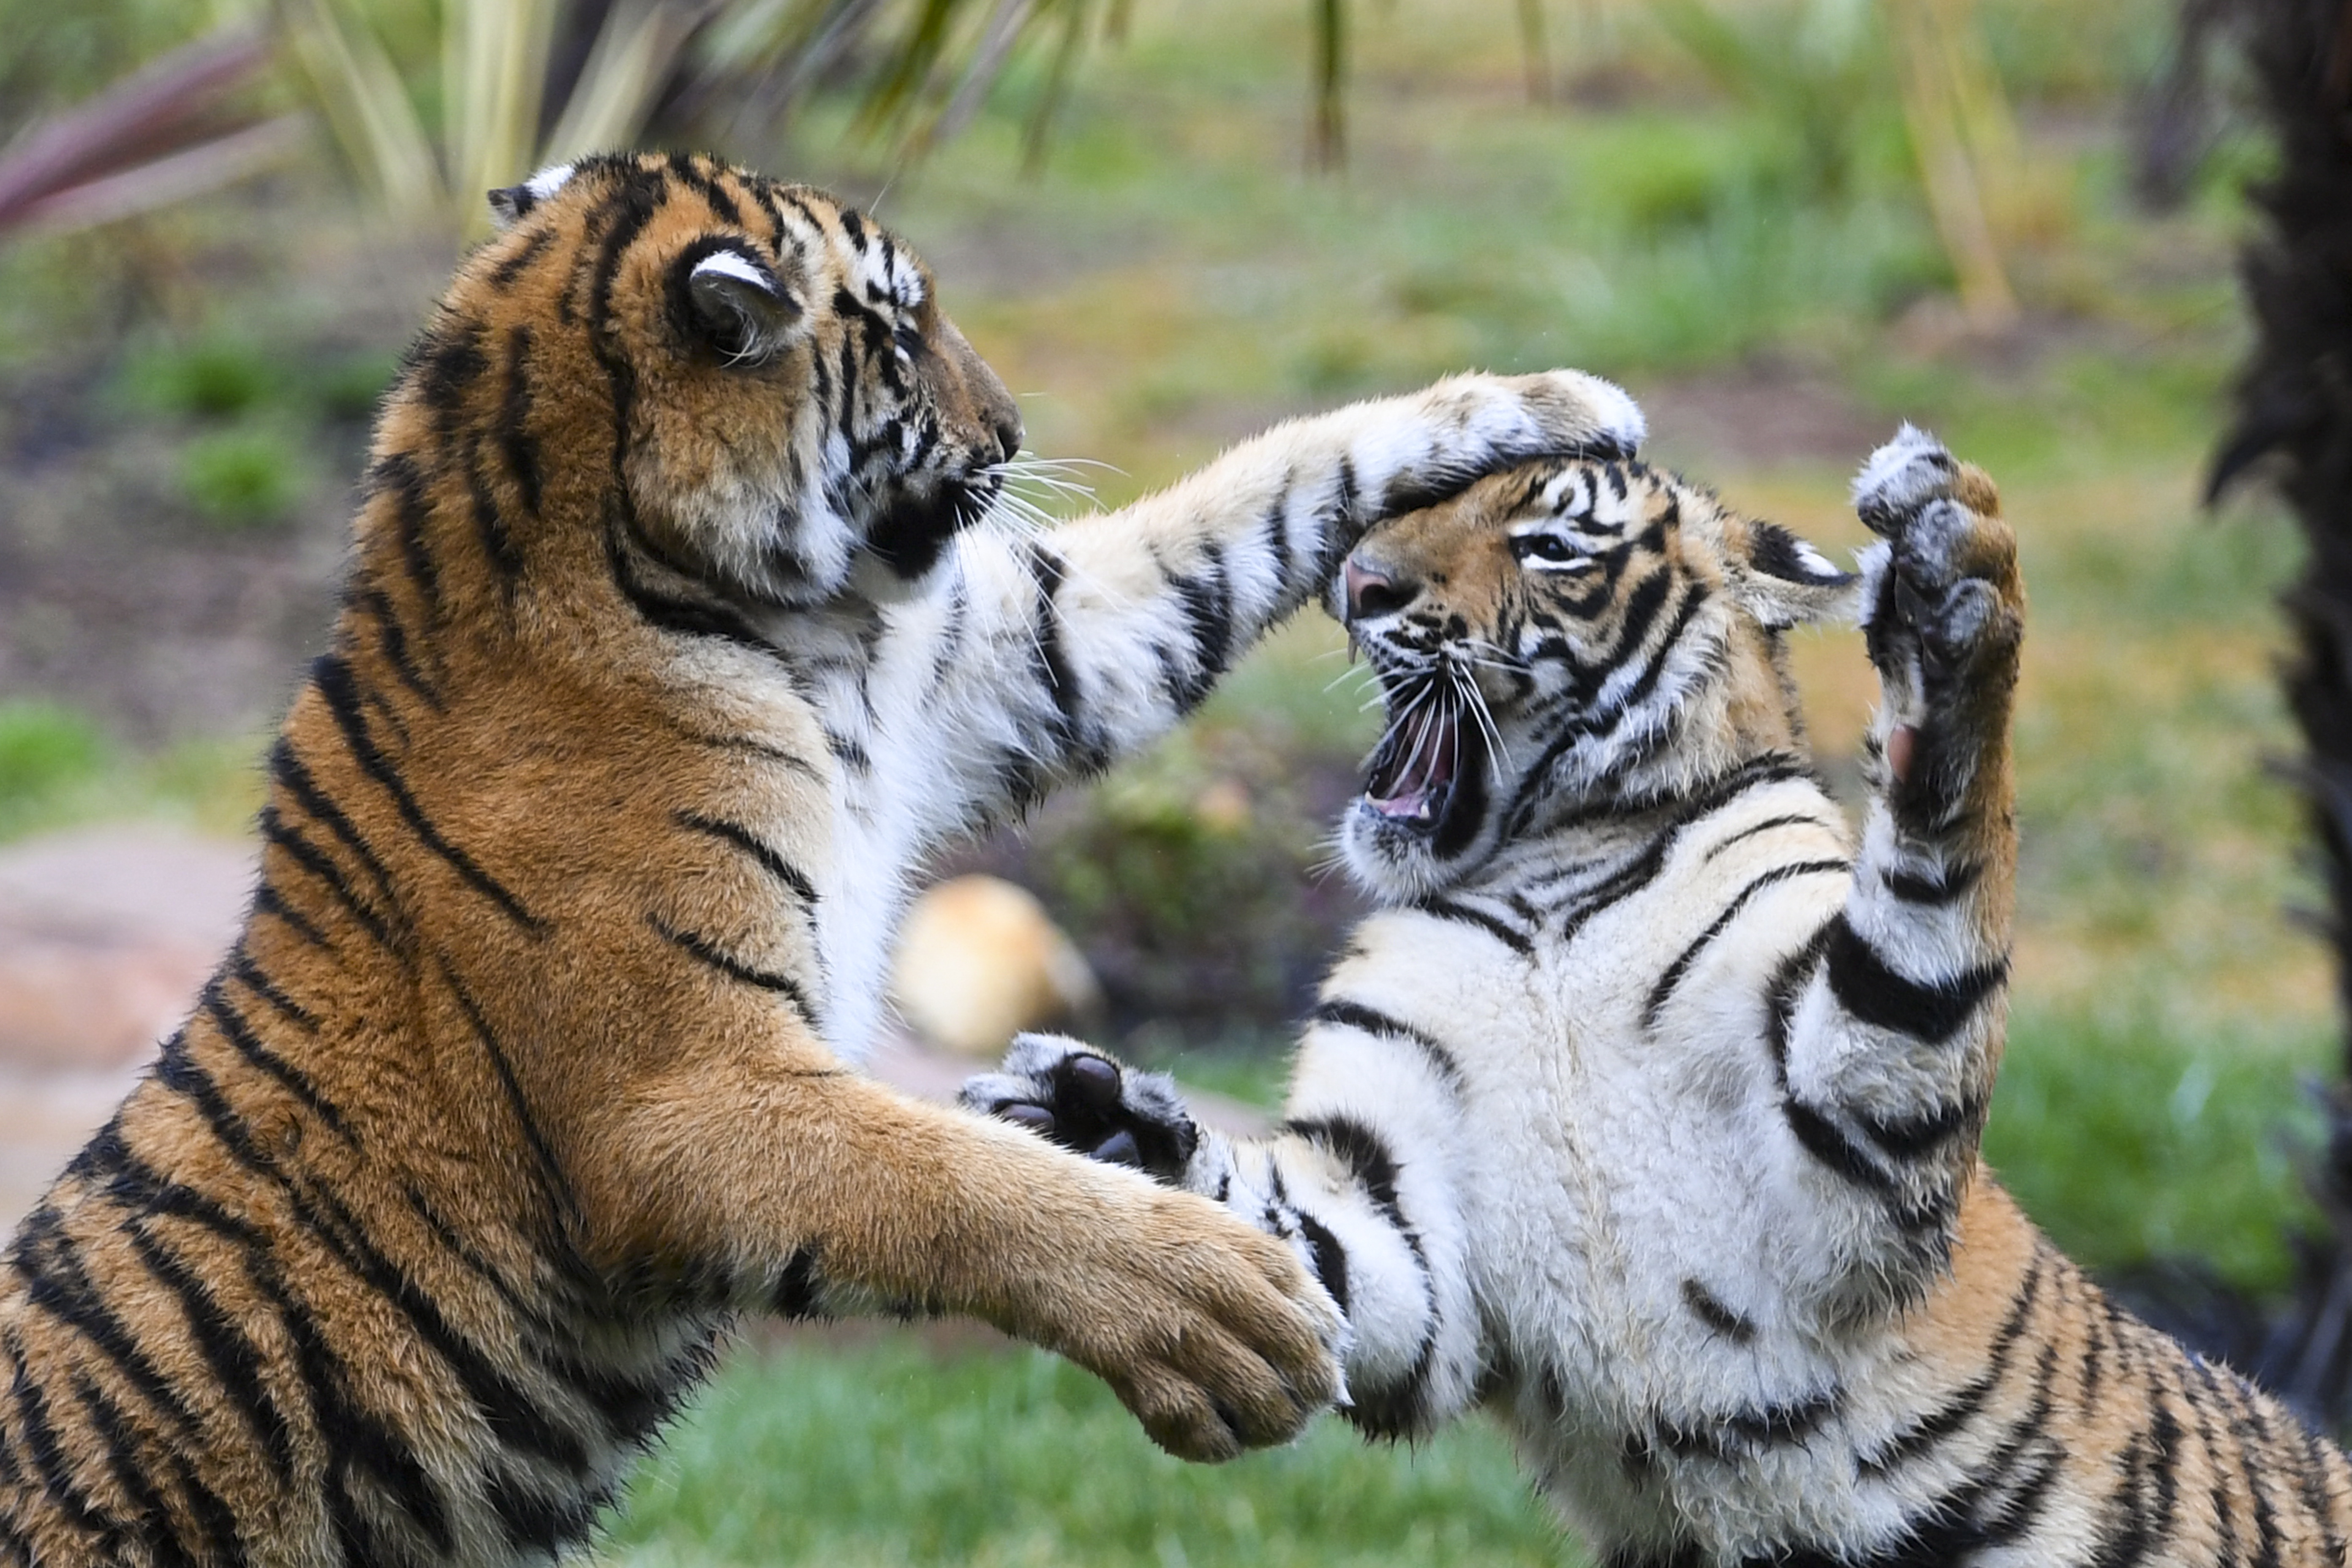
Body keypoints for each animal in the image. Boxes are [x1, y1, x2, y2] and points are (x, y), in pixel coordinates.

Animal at [0, 148, 1651, 1568]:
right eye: (905, 340)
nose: (1011, 435)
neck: (754, 610)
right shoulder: (682, 1094)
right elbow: (948, 1179)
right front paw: (1222, 1313)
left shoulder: (1010, 658)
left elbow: (1259, 496)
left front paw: (1545, 404)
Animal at [966, 427, 2352, 1566]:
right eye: (1417, 505)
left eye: (1546, 543)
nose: (1354, 585)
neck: (1545, 887)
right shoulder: (1407, 1224)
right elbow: (1328, 1251)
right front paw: (1090, 1122)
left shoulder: (1853, 1152)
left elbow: (1932, 887)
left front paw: (1950, 612)